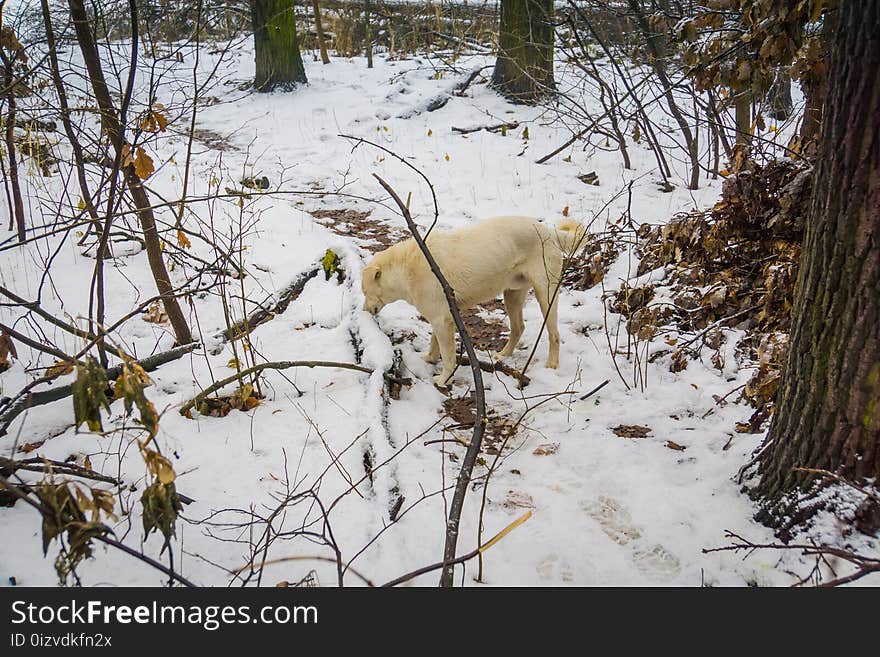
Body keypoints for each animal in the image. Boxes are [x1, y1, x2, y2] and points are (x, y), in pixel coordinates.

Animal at [360, 215, 580, 384]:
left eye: (364, 291)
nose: (363, 312)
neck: (405, 269)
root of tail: (548, 231)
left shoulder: (442, 320)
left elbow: (448, 355)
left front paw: (444, 379)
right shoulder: (442, 317)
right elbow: (434, 342)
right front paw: (430, 359)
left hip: (546, 294)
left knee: (554, 334)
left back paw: (552, 364)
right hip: (512, 295)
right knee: (519, 327)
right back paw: (503, 355)